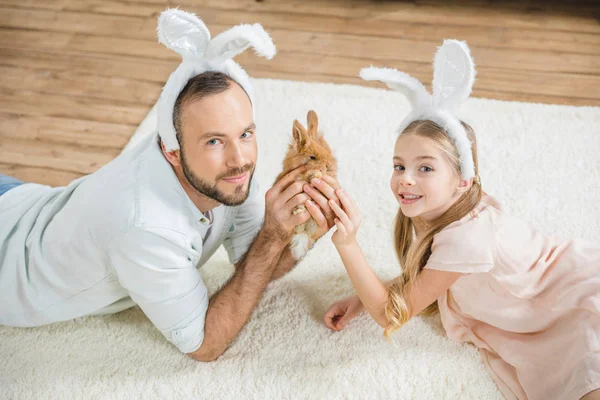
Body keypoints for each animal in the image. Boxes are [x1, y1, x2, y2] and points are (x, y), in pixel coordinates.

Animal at [276, 109, 338, 260]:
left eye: (325, 150)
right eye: (312, 157)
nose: (327, 166)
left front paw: (317, 176)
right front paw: (315, 175)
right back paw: (298, 210)